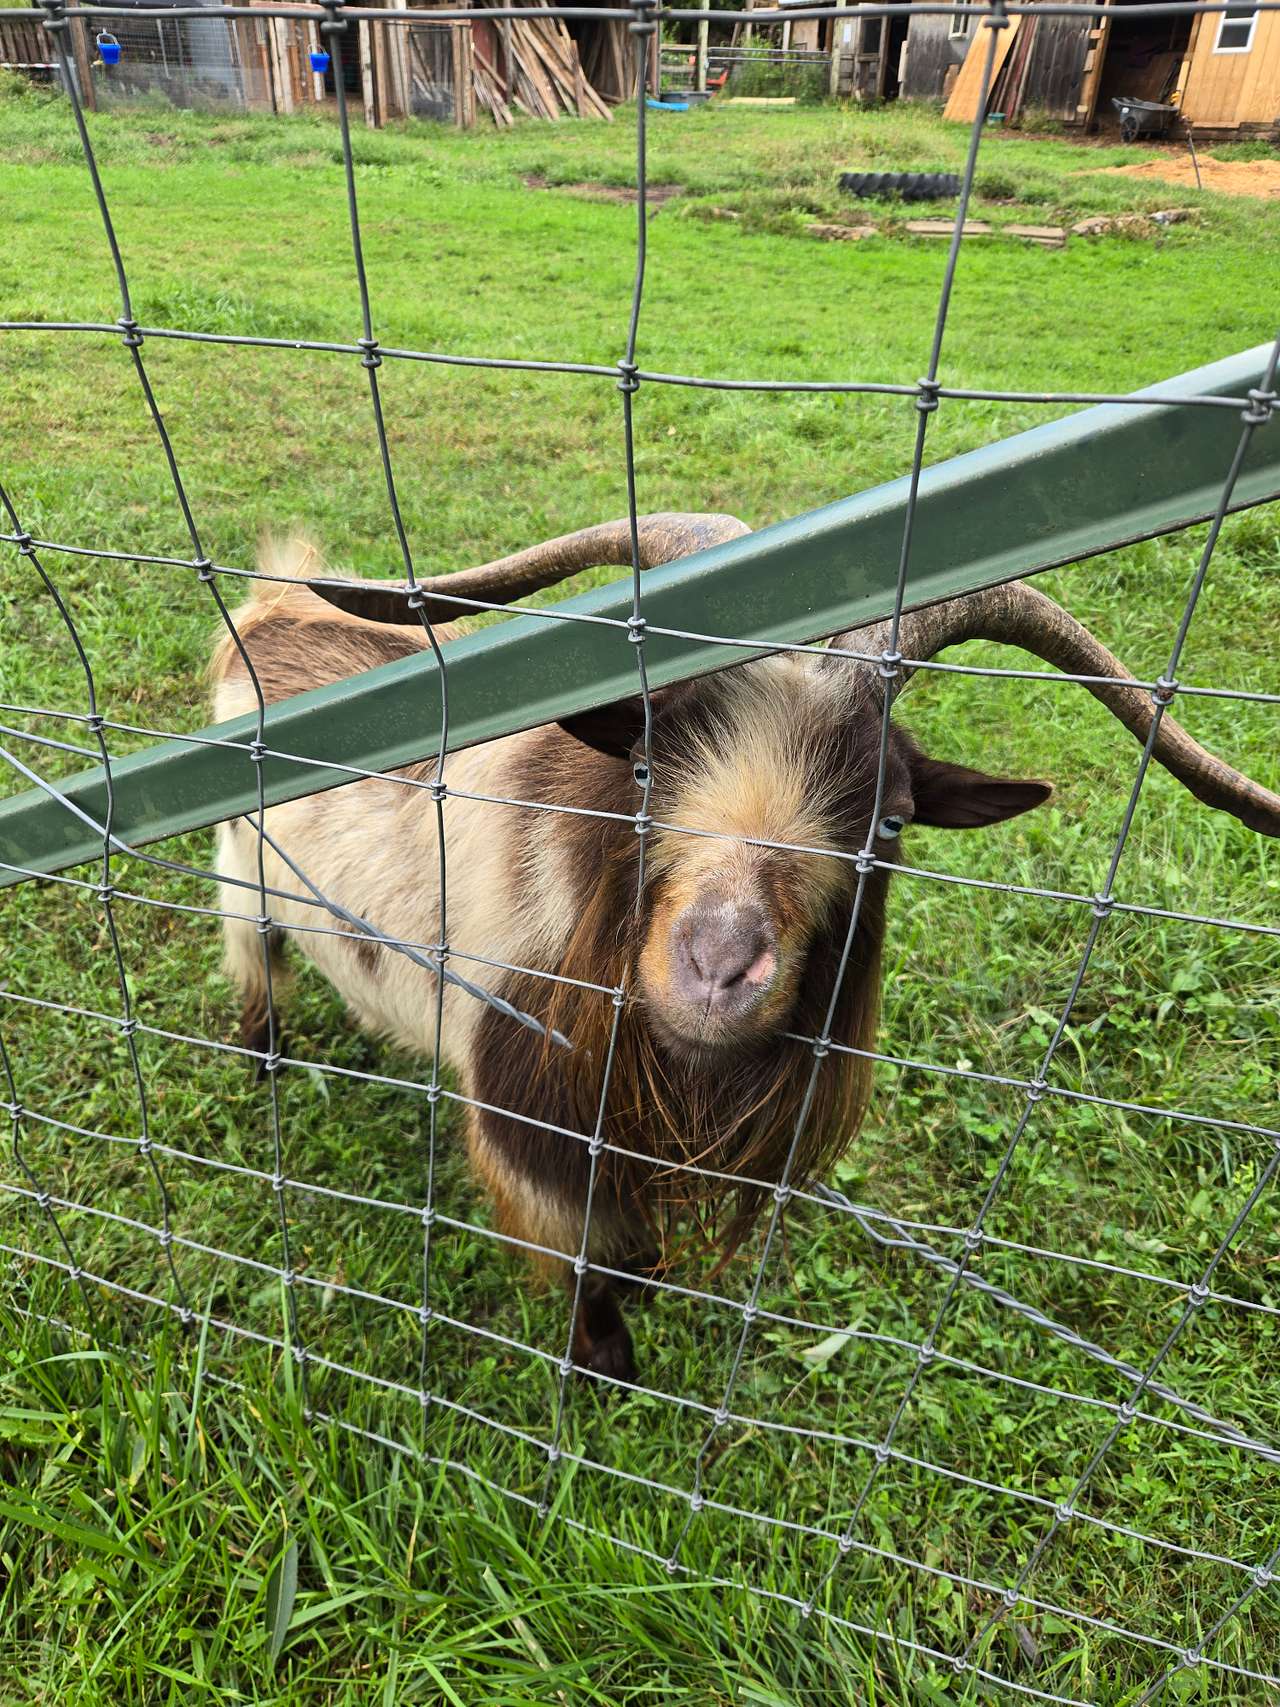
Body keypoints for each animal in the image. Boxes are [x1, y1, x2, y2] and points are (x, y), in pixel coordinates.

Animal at [211, 515, 1280, 1383]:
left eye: (889, 822)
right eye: (645, 767)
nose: (718, 972)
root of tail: (266, 611)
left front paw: (645, 1284)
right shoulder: (534, 1116)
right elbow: (584, 1260)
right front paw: (606, 1360)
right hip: (241, 875)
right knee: (255, 962)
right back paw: (264, 1058)